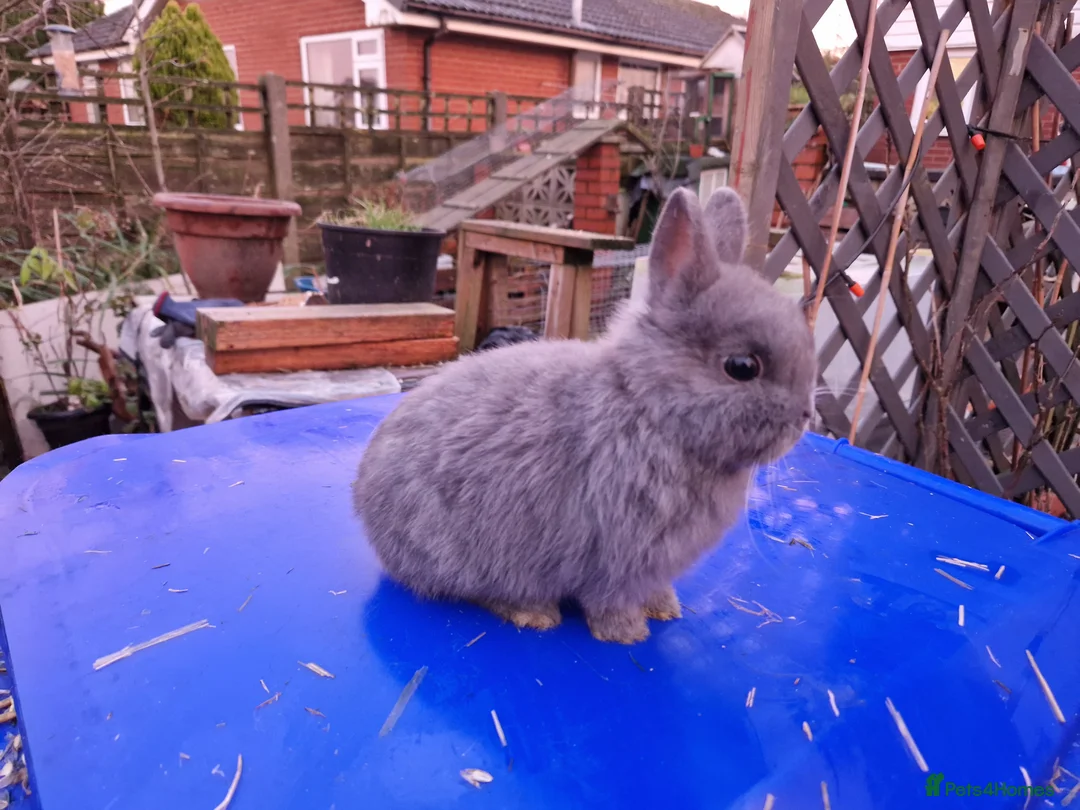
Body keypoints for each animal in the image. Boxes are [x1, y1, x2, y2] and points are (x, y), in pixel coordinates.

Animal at [353, 188, 816, 644]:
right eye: (742, 367)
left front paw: (665, 609)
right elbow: (609, 602)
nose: (804, 418)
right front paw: (628, 635)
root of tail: (366, 508)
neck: (645, 406)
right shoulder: (616, 559)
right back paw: (534, 613)